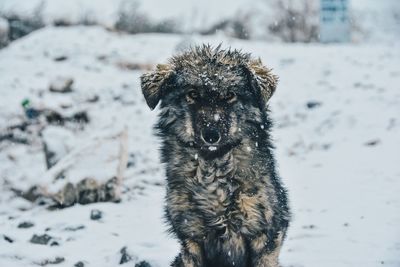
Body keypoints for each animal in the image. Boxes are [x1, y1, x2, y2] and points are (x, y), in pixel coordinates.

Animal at [141, 45, 290, 266]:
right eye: (192, 94)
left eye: (230, 95)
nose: (211, 135)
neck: (213, 169)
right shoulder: (191, 238)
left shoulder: (264, 237)